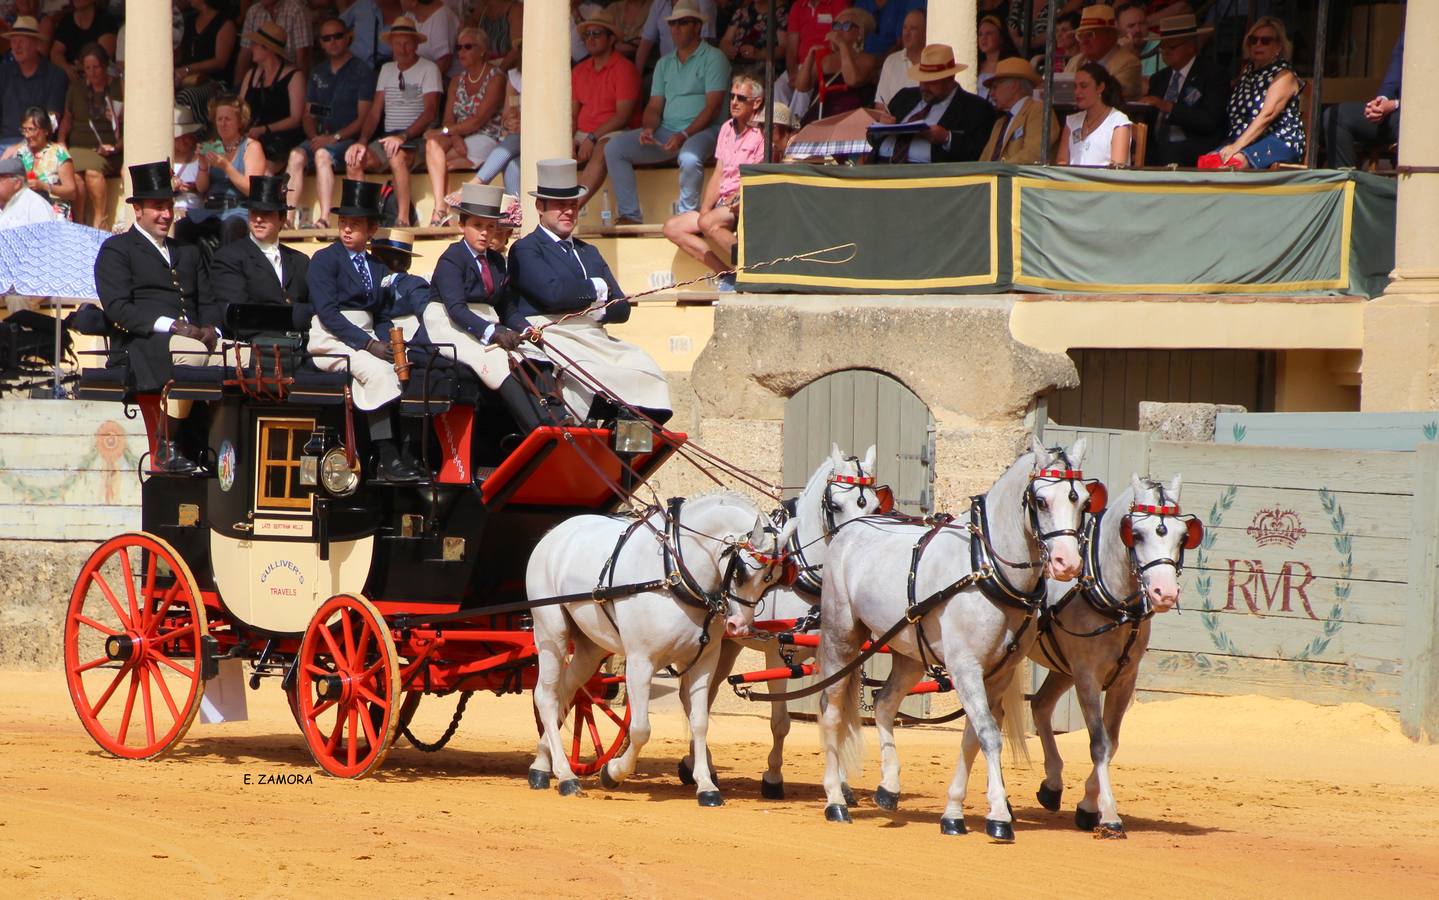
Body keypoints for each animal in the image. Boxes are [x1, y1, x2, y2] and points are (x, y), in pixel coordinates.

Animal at [529, 495, 800, 806]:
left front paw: (706, 785)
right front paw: (613, 772)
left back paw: (541, 764)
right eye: (741, 571)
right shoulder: (639, 662)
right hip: (552, 634)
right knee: (546, 697)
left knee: (567, 693)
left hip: (590, 648)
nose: (738, 625)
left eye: (773, 579)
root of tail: (553, 534)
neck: (675, 576)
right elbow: (640, 729)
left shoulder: (704, 662)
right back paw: (565, 775)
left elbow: (699, 723)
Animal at [676, 443, 880, 794]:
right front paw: (772, 777)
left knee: (703, 697)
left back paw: (697, 766)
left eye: (877, 505)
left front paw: (840, 783)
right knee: (692, 701)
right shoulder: (776, 653)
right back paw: (701, 768)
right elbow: (781, 722)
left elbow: (834, 715)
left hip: (727, 646)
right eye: (836, 505)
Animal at [817, 437, 1082, 840]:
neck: (986, 567)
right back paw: (835, 800)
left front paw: (954, 813)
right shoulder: (965, 667)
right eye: (1040, 501)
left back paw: (889, 787)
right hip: (840, 639)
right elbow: (988, 734)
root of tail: (850, 530)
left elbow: (973, 737)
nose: (1069, 563)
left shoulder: (998, 673)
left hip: (910, 653)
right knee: (831, 713)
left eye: (1082, 499)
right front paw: (999, 816)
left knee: (884, 704)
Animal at [1036, 475, 1191, 840]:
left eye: (1183, 535)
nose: (1165, 593)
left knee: (1040, 705)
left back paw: (1052, 785)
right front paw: (1109, 817)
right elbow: (1099, 744)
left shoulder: (1123, 680)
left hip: (1061, 669)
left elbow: (1113, 741)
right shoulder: (1087, 678)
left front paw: (1088, 807)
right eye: (1136, 534)